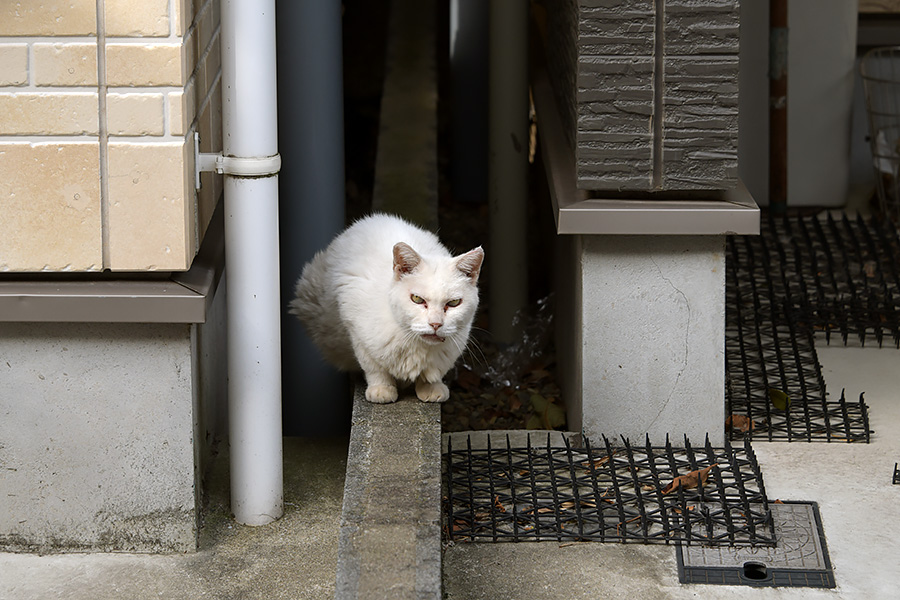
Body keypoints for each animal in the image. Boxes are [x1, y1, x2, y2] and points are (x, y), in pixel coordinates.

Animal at [290, 213, 486, 406]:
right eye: (417, 299)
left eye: (453, 303)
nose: (435, 324)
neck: (415, 344)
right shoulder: (356, 330)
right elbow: (374, 368)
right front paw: (382, 390)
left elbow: (433, 371)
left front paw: (431, 387)